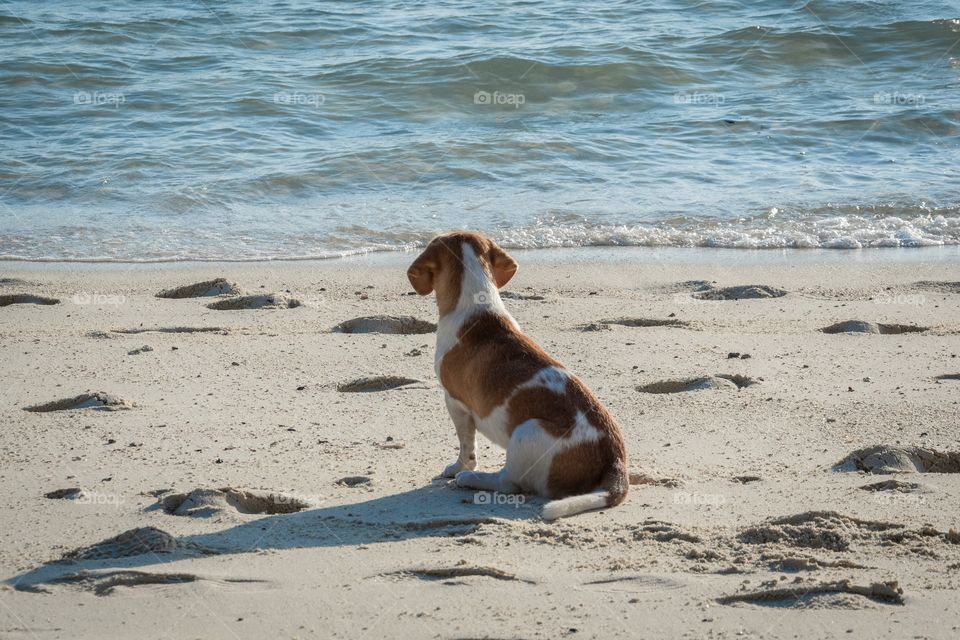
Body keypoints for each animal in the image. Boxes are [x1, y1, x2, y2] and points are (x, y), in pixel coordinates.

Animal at [406, 230, 628, 520]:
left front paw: (457, 468)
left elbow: (467, 446)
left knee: (509, 483)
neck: (478, 307)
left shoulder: (455, 403)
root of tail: (615, 460)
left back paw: (471, 479)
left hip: (525, 430)